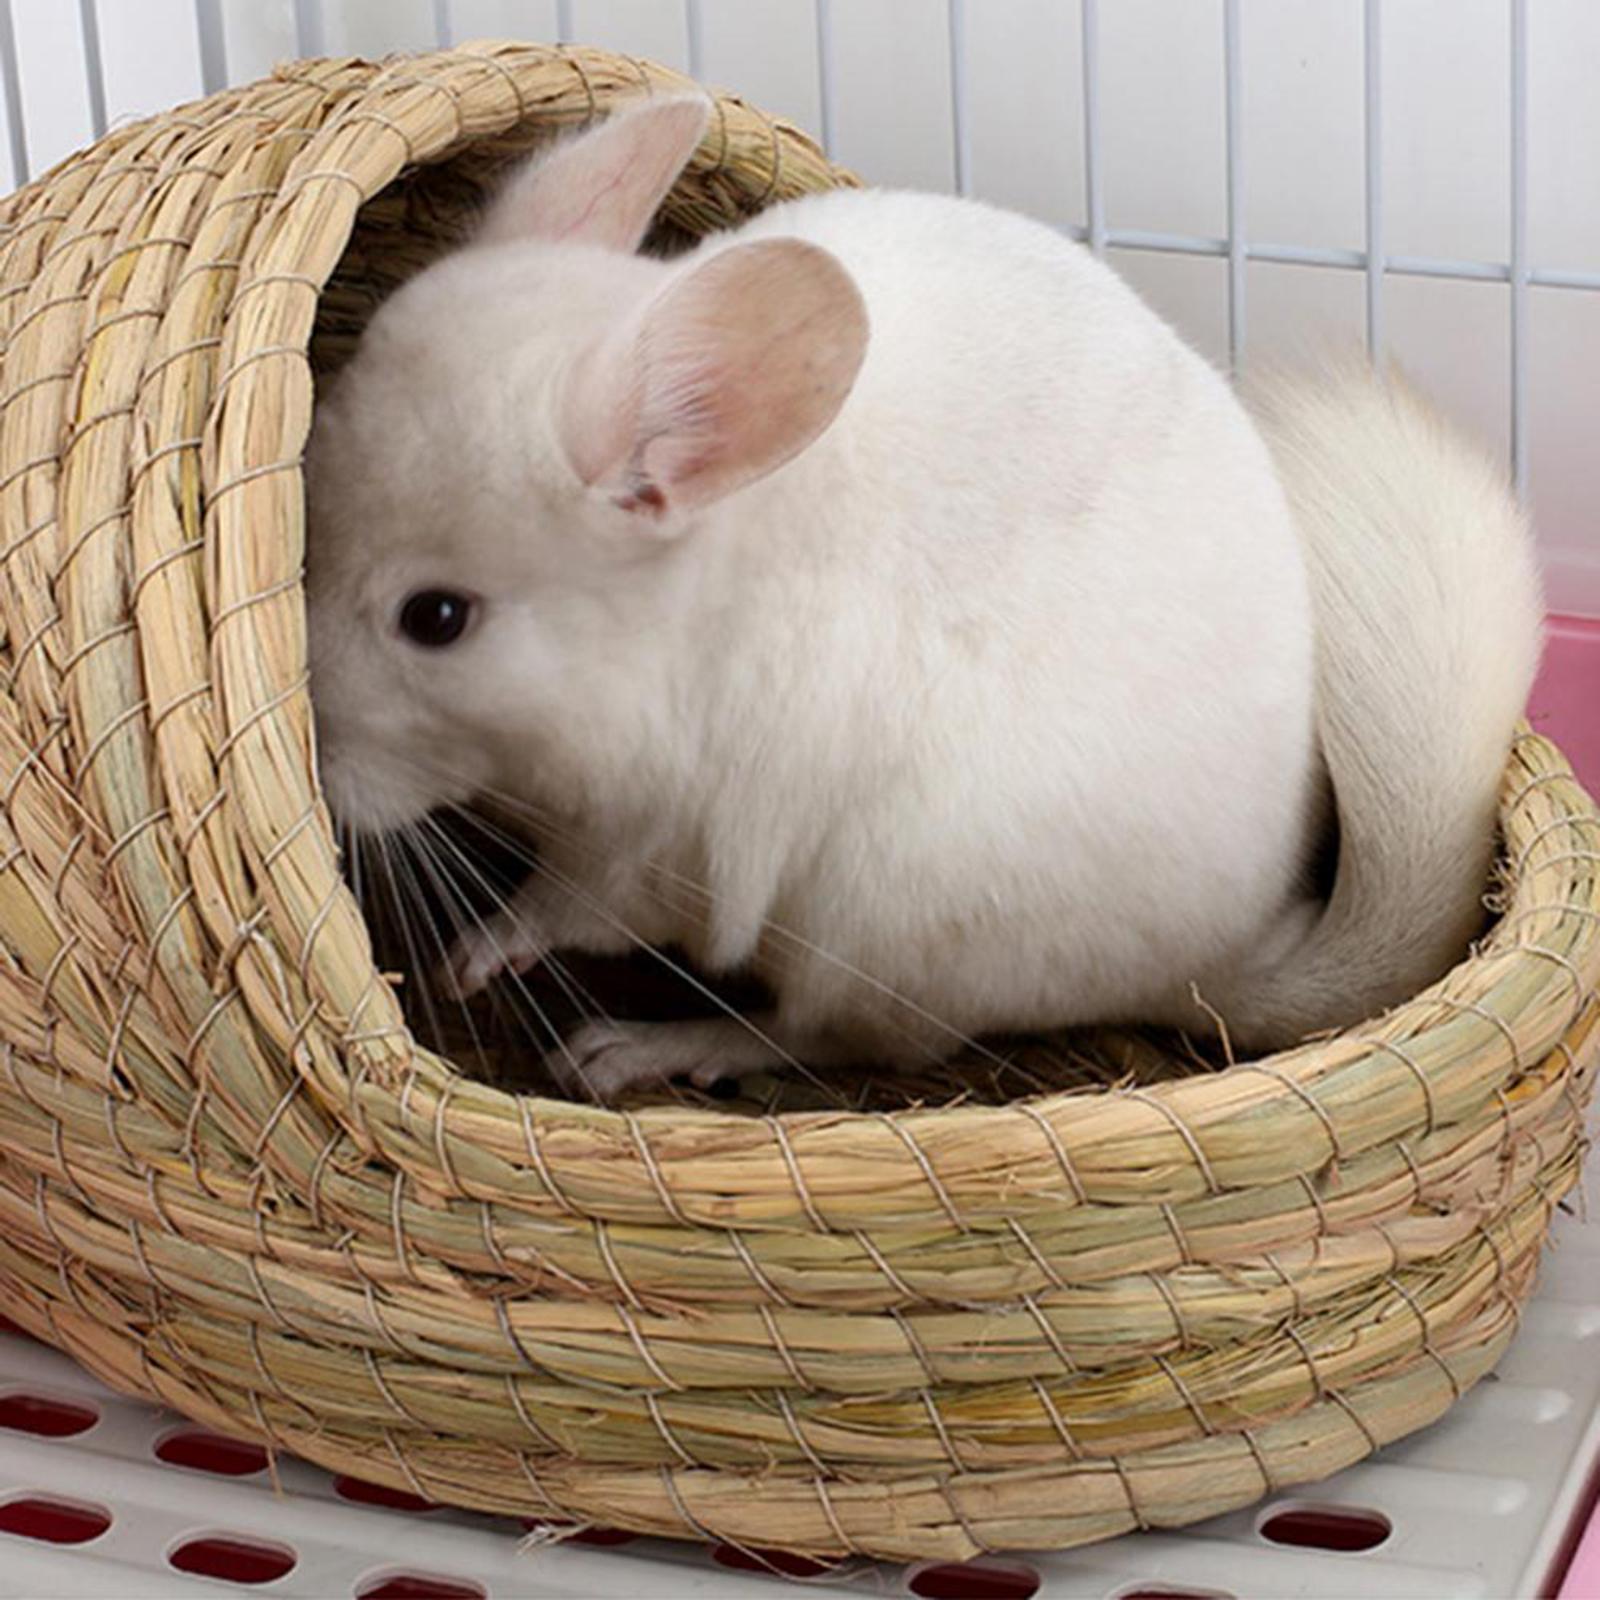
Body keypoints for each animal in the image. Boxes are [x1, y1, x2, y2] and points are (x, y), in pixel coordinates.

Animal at [305, 93, 1541, 1101]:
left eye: (437, 620)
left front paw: (475, 955)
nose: (308, 744)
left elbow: (572, 903)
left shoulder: (660, 839)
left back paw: (641, 1049)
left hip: (881, 922)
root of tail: (1217, 953)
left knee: (846, 1038)